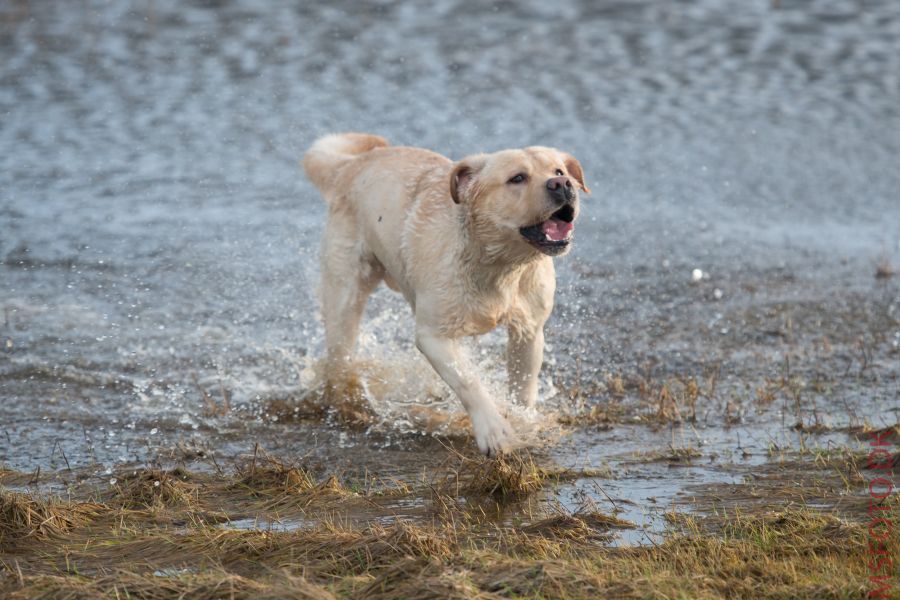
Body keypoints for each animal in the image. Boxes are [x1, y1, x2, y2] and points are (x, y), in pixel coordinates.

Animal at [298, 134, 588, 454]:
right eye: (518, 178)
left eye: (559, 171)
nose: (562, 184)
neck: (500, 263)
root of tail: (351, 165)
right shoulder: (432, 337)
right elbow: (468, 381)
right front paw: (494, 430)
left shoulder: (529, 330)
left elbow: (523, 387)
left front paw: (524, 421)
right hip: (345, 297)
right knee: (339, 357)